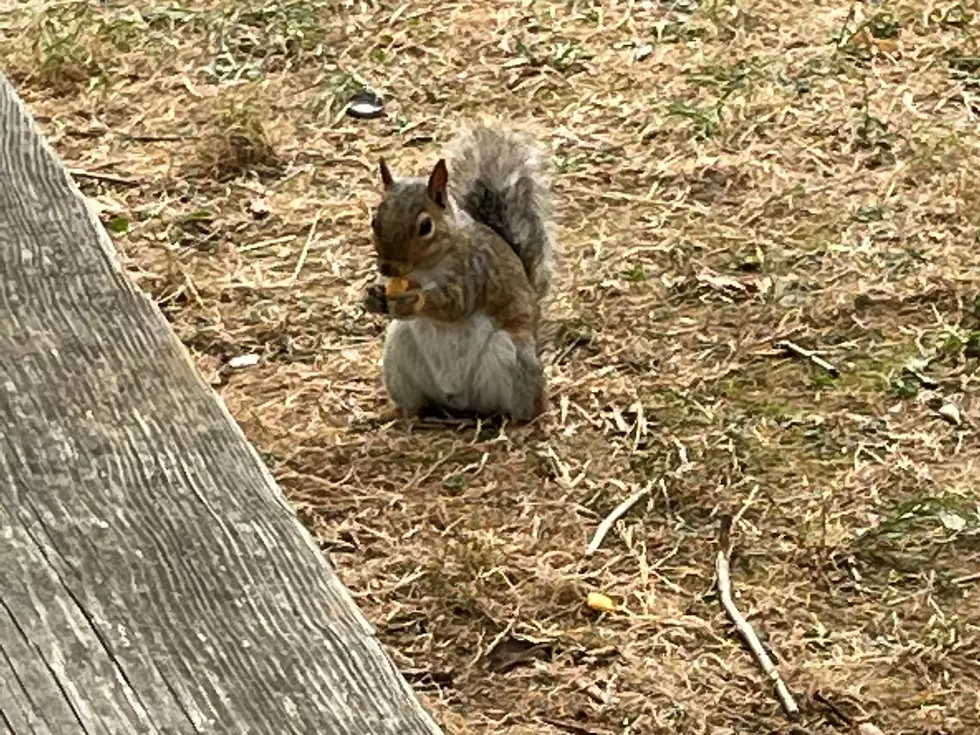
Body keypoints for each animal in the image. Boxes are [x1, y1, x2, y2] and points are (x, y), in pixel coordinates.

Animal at [362, 123, 560, 422]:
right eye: (374, 220)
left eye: (425, 226)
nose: (387, 267)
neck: (424, 270)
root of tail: (460, 402)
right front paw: (371, 295)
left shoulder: (475, 271)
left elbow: (455, 305)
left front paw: (415, 299)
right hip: (398, 350)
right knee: (414, 404)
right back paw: (396, 413)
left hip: (514, 359)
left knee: (527, 407)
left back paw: (520, 421)